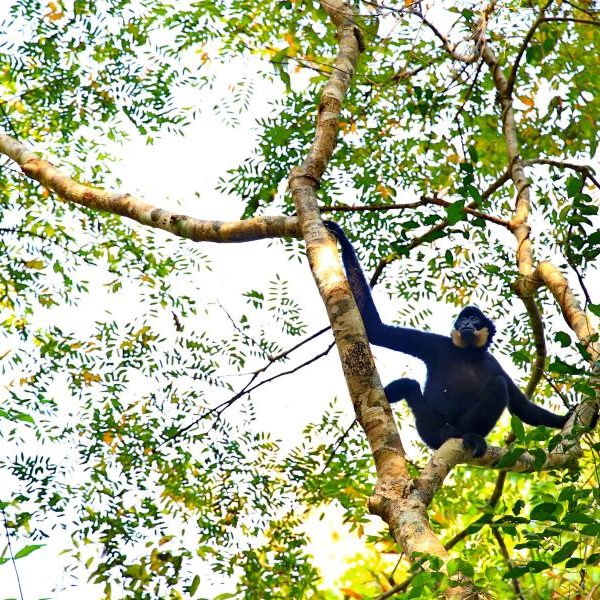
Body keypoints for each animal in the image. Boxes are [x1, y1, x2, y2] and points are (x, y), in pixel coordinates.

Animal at [326, 223, 568, 458]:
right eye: (462, 320)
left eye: (474, 319)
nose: (465, 324)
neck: (468, 351)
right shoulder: (437, 345)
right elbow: (378, 331)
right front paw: (341, 237)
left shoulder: (492, 362)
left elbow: (522, 408)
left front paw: (566, 419)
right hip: (428, 425)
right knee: (410, 386)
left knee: (499, 385)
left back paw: (470, 436)